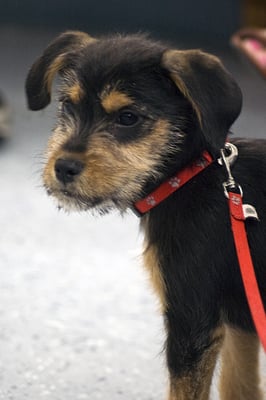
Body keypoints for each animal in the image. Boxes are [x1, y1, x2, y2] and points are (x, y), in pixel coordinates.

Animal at [25, 32, 266, 400]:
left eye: (128, 118)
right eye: (68, 105)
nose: (63, 167)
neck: (189, 176)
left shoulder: (191, 322)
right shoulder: (243, 320)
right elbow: (239, 386)